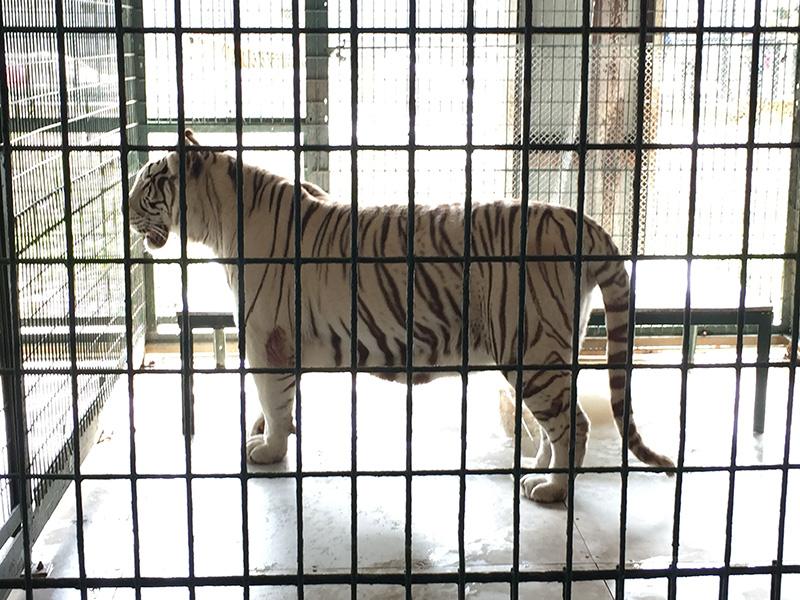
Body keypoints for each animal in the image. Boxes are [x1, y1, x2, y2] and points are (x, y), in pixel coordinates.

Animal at [127, 130, 674, 503]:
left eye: (149, 182)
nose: (124, 210)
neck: (219, 223)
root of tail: (581, 221)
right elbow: (277, 399)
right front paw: (265, 434)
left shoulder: (267, 337)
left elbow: (272, 397)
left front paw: (269, 449)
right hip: (542, 347)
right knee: (554, 422)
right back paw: (535, 469)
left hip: (533, 347)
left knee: (573, 424)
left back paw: (554, 490)